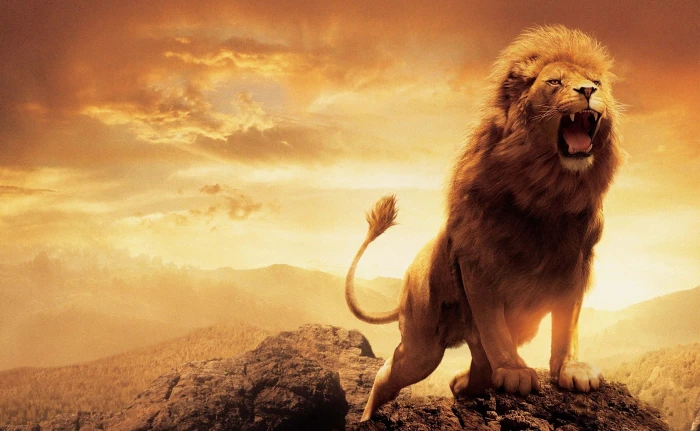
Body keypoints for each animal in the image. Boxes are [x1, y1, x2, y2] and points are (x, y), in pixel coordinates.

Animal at [345, 26, 623, 421]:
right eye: (555, 82)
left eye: (596, 82)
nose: (587, 91)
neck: (548, 191)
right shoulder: (479, 264)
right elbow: (494, 328)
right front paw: (515, 371)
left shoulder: (575, 264)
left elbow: (566, 325)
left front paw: (572, 369)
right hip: (422, 345)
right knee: (390, 372)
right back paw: (368, 416)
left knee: (475, 364)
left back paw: (462, 384)